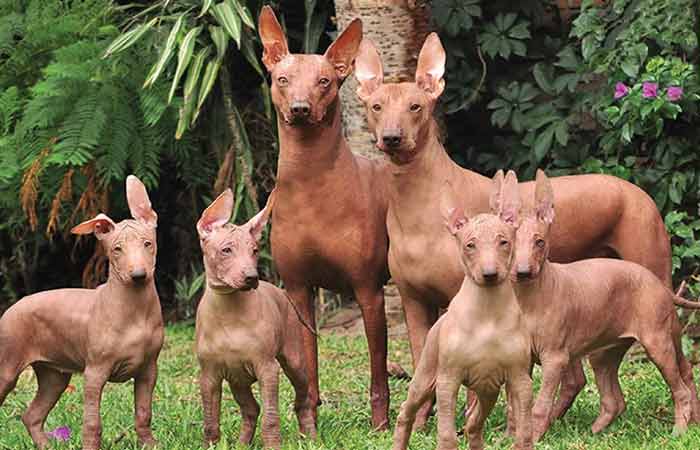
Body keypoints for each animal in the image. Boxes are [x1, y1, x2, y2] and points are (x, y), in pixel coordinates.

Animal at [0, 176, 163, 450]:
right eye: (117, 249)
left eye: (147, 244)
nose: (139, 275)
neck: (135, 310)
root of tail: (12, 308)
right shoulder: (95, 373)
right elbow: (92, 423)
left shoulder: (148, 370)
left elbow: (143, 413)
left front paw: (149, 444)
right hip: (7, 369)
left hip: (54, 376)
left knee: (31, 416)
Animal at [197, 188, 318, 448]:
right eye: (226, 250)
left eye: (254, 250)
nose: (252, 278)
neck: (229, 310)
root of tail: (281, 292)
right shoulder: (209, 375)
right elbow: (210, 422)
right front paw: (210, 445)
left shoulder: (267, 369)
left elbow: (271, 418)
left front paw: (273, 445)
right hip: (237, 378)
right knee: (251, 409)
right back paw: (243, 443)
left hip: (294, 362)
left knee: (303, 400)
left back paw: (311, 437)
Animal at [258, 7, 394, 428]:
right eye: (282, 79)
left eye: (325, 82)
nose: (300, 108)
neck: (310, 187)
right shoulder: (299, 292)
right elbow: (309, 366)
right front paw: (309, 424)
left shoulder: (369, 291)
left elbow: (378, 373)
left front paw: (381, 426)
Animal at [394, 170, 532, 450]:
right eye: (470, 245)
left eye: (504, 242)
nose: (490, 275)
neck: (487, 312)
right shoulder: (448, 379)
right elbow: (447, 435)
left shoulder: (520, 379)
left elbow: (523, 434)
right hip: (425, 377)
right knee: (406, 411)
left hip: (487, 389)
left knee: (473, 425)